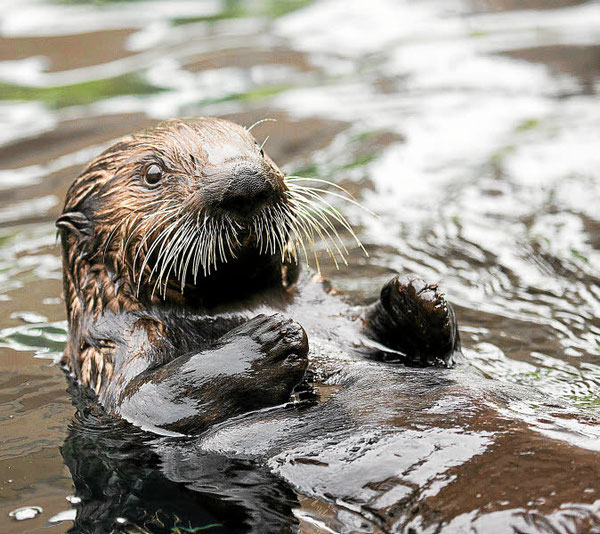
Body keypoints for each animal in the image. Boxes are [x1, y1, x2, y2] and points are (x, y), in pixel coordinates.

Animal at [57, 116, 460, 436]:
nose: (245, 180)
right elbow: (142, 398)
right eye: (153, 174)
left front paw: (415, 296)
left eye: (260, 151)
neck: (238, 304)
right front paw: (270, 337)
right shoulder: (118, 346)